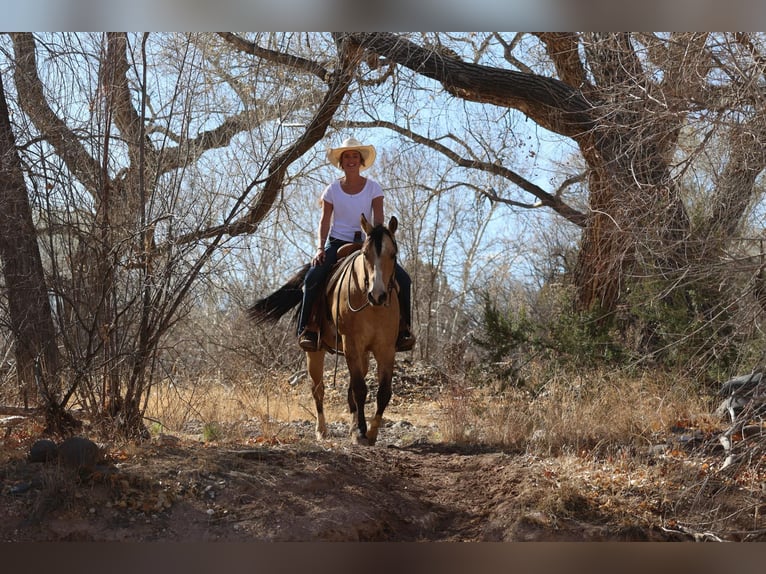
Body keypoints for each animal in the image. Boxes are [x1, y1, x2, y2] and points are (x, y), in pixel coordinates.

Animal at [248, 214, 400, 445]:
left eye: (393, 254)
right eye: (365, 254)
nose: (378, 295)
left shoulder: (386, 348)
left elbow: (382, 391)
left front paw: (371, 432)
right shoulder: (351, 344)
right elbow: (359, 388)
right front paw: (360, 432)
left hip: (363, 354)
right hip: (315, 351)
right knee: (318, 389)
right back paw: (321, 430)